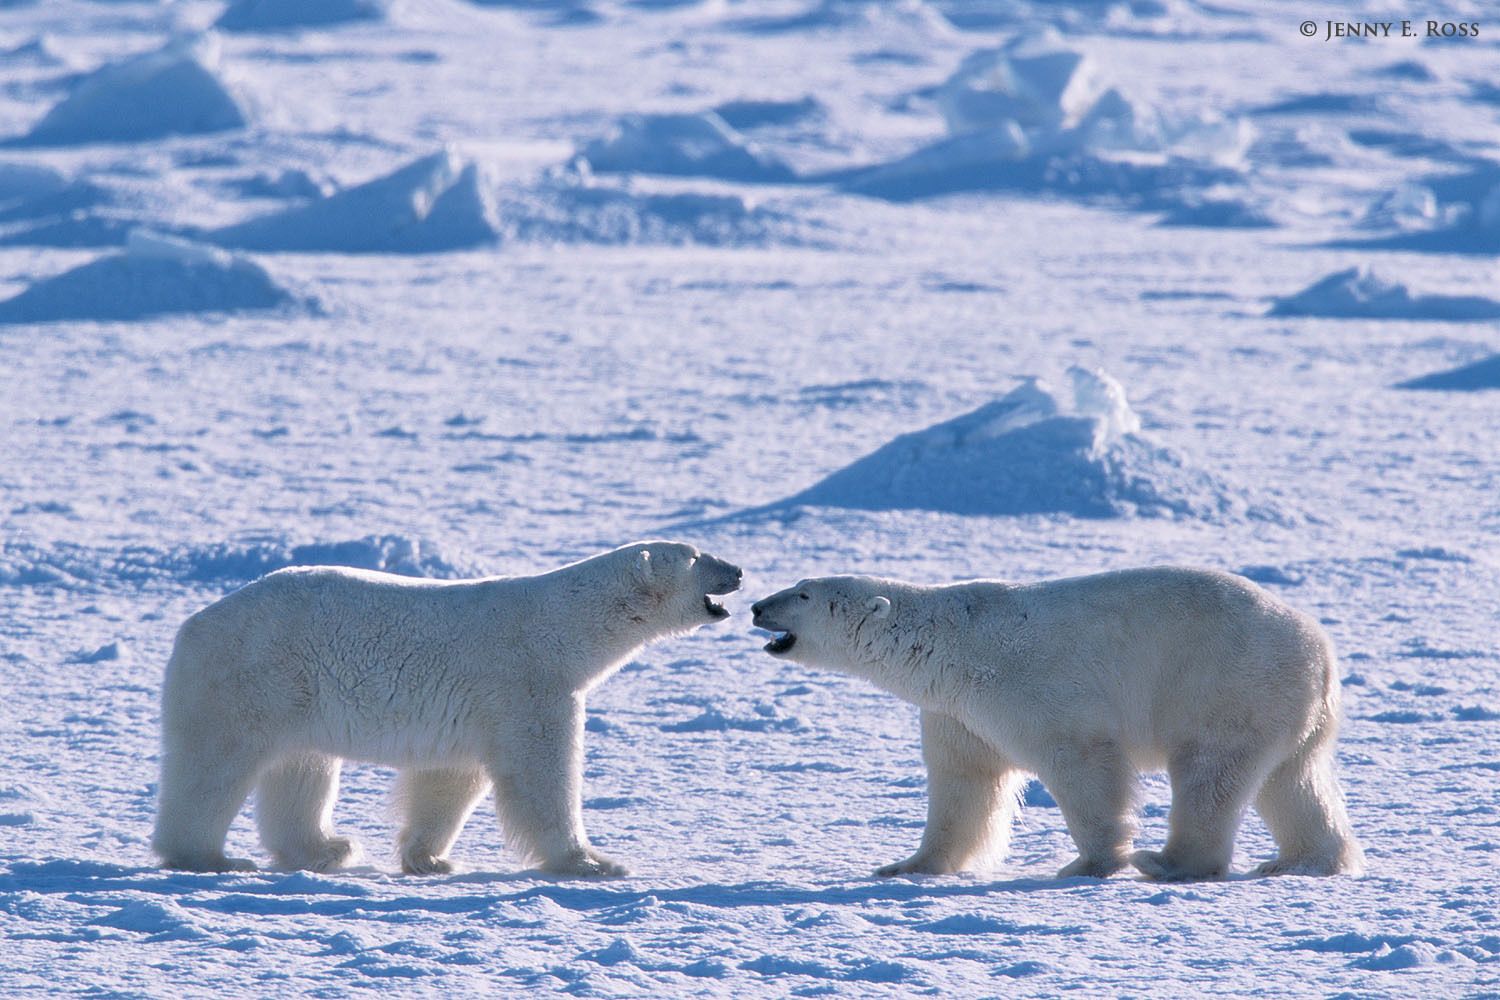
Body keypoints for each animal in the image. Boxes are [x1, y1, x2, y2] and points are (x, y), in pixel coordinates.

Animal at [152, 540, 742, 877]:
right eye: (696, 557)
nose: (737, 569)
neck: (562, 626)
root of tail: (192, 625)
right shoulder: (528, 683)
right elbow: (542, 774)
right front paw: (592, 862)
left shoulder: (479, 706)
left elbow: (450, 780)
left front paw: (428, 858)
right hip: (252, 678)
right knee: (215, 766)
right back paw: (207, 856)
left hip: (296, 696)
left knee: (300, 767)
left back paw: (328, 847)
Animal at [750, 567, 1363, 882]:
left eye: (802, 594)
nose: (757, 606)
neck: (950, 642)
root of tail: (1321, 651)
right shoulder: (957, 712)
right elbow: (963, 785)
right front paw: (907, 865)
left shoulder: (1029, 687)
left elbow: (1081, 764)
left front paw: (1090, 863)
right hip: (1282, 705)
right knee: (1294, 780)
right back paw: (1302, 860)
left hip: (1227, 684)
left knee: (1209, 774)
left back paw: (1168, 863)